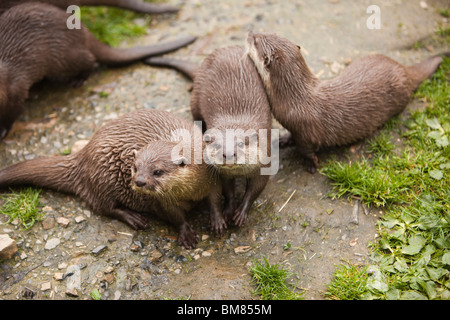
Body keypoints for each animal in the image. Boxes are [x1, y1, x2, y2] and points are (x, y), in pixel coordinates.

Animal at [0, 2, 196, 140]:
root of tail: (84, 32)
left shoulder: (15, 89)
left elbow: (13, 113)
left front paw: (2, 130)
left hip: (64, 56)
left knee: (89, 59)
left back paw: (78, 79)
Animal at [0, 109, 216, 249]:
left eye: (157, 172)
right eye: (135, 167)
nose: (139, 181)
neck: (189, 192)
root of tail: (84, 154)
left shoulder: (211, 180)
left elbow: (213, 199)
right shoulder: (162, 203)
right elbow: (175, 217)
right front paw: (186, 233)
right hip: (104, 176)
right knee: (104, 207)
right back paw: (133, 218)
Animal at [146, 45, 272, 232]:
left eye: (241, 143)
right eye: (218, 145)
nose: (228, 154)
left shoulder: (264, 162)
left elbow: (255, 190)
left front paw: (241, 213)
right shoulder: (222, 174)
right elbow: (228, 190)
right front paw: (228, 210)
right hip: (196, 101)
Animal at [246, 31, 446, 174]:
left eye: (256, 41)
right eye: (266, 32)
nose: (250, 32)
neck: (296, 100)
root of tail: (403, 69)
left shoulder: (306, 133)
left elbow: (306, 150)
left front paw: (311, 165)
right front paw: (284, 139)